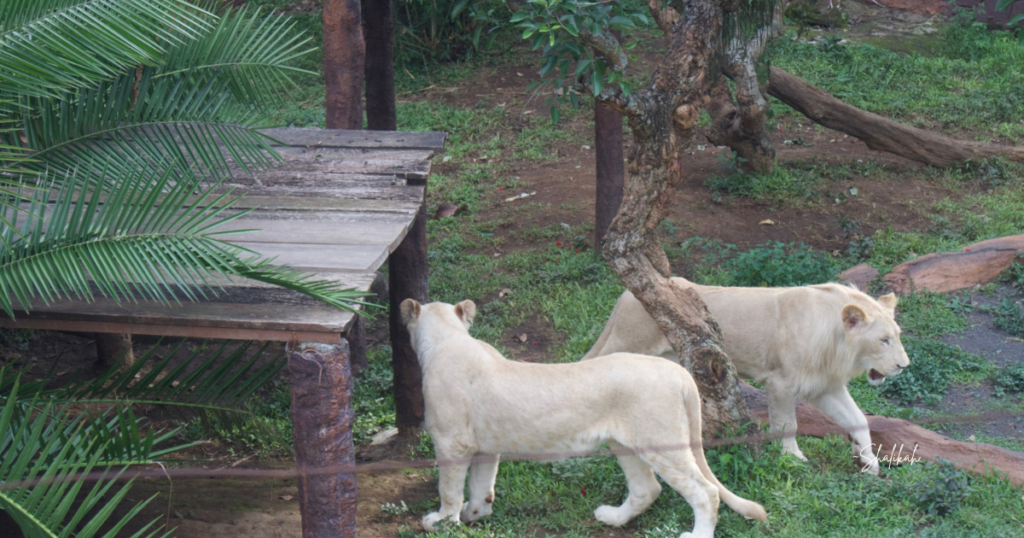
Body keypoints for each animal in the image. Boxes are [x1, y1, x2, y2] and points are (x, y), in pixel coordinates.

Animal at [403, 297, 765, 536]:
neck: (446, 339)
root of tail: (679, 373)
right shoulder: (486, 447)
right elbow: (481, 485)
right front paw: (475, 514)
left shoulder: (452, 442)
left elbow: (449, 488)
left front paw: (441, 522)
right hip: (625, 444)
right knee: (647, 489)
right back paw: (611, 517)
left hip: (662, 444)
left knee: (705, 492)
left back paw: (695, 534)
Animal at [585, 276, 913, 473]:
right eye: (884, 340)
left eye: (897, 335)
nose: (904, 365)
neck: (837, 342)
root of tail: (626, 294)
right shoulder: (781, 383)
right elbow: (787, 424)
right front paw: (792, 457)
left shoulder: (825, 387)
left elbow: (858, 420)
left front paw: (869, 461)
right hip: (626, 341)